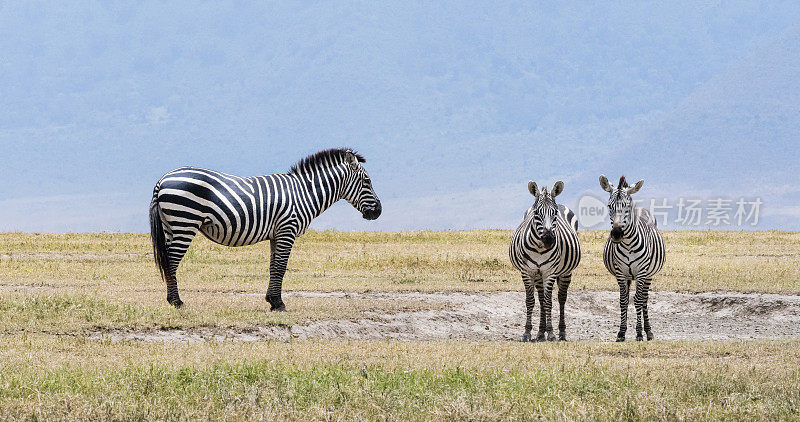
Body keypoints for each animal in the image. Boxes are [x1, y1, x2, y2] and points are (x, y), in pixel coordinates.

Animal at [149, 148, 382, 310]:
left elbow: (273, 267)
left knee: (168, 261)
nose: (378, 211)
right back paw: (177, 302)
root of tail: (163, 179)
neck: (304, 193)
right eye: (367, 181)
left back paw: (172, 300)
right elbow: (280, 267)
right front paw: (279, 304)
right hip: (185, 223)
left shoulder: (276, 235)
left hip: (171, 227)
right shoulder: (287, 229)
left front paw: (272, 300)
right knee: (171, 262)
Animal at [512, 180, 580, 342]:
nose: (548, 239)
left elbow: (549, 302)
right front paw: (527, 333)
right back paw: (540, 333)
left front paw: (551, 333)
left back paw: (561, 332)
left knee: (561, 298)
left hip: (566, 272)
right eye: (536, 213)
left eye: (554, 213)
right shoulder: (527, 272)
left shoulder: (550, 272)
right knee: (541, 298)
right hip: (538, 274)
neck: (539, 248)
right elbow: (531, 301)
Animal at [596, 176, 664, 342]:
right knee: (627, 298)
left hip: (648, 275)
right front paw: (621, 332)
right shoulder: (621, 272)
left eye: (627, 206)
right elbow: (623, 301)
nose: (616, 234)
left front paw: (639, 333)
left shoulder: (641, 272)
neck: (628, 244)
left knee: (644, 299)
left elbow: (638, 300)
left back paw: (648, 332)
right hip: (628, 276)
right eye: (609, 206)